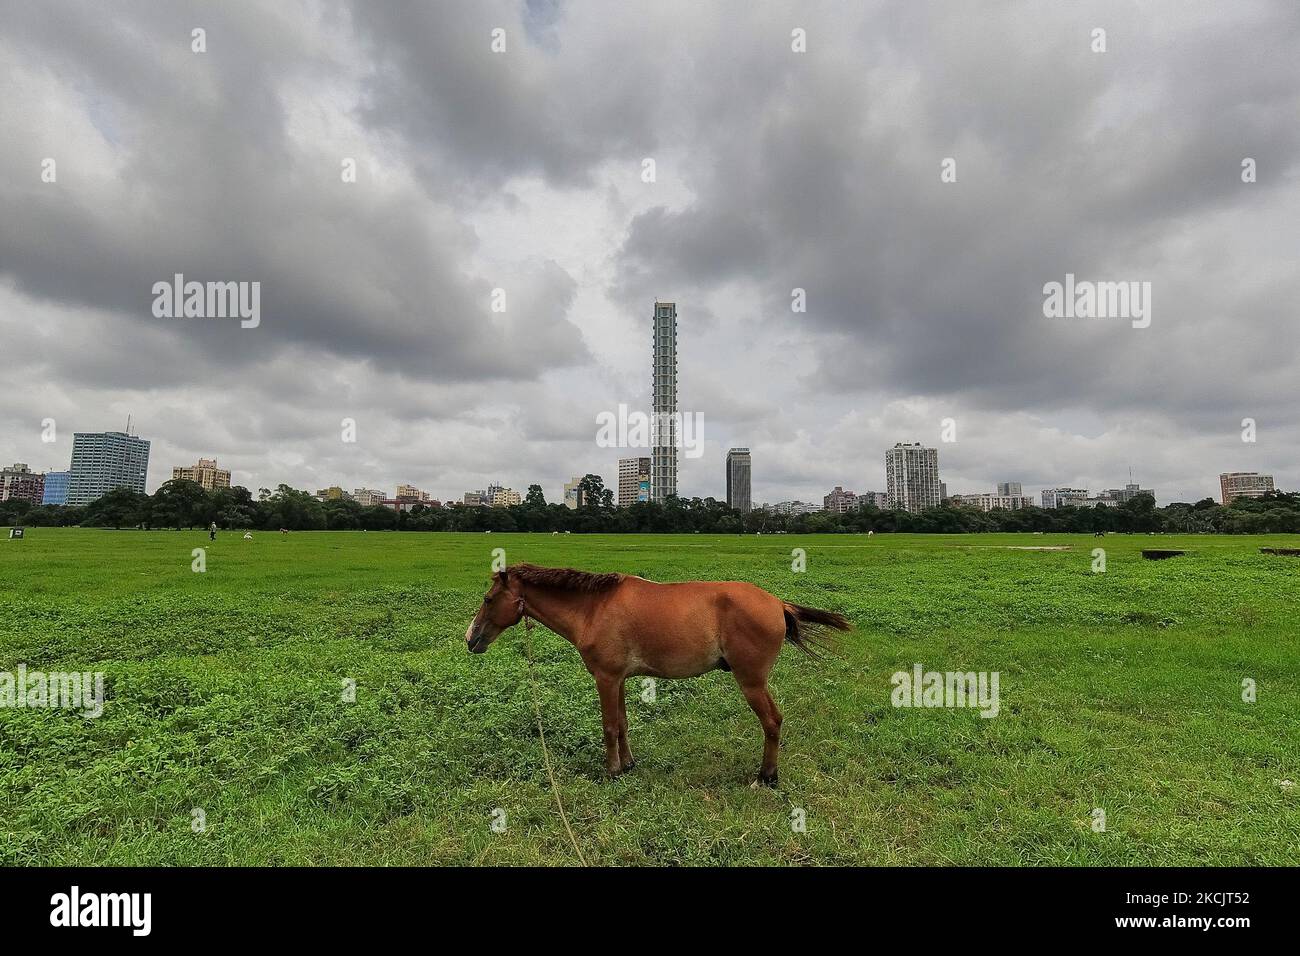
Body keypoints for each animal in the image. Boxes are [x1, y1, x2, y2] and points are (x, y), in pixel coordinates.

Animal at [465, 563, 851, 785]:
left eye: (487, 599)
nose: (470, 639)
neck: (594, 608)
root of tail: (777, 603)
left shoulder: (605, 679)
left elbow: (608, 726)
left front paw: (612, 771)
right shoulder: (618, 679)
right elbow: (622, 724)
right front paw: (628, 764)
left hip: (751, 681)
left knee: (772, 722)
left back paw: (766, 777)